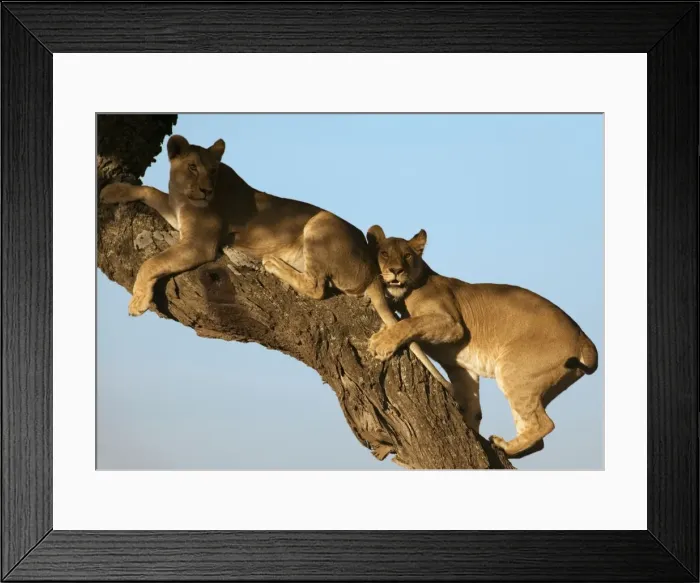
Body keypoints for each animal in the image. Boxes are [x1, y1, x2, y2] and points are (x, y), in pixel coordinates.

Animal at [99, 134, 450, 389]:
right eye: (193, 167)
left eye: (213, 170)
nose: (206, 189)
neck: (184, 195)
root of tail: (372, 269)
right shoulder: (178, 216)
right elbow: (148, 190)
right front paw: (112, 191)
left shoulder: (200, 244)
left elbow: (153, 262)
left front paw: (138, 301)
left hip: (319, 222)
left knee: (317, 287)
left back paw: (271, 262)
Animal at [365, 225, 598, 458]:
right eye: (384, 253)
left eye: (407, 255)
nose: (396, 270)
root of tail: (584, 339)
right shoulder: (462, 368)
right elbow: (472, 407)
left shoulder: (453, 324)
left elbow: (410, 322)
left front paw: (380, 343)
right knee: (537, 435)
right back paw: (506, 449)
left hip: (513, 371)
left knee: (544, 424)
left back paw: (504, 446)